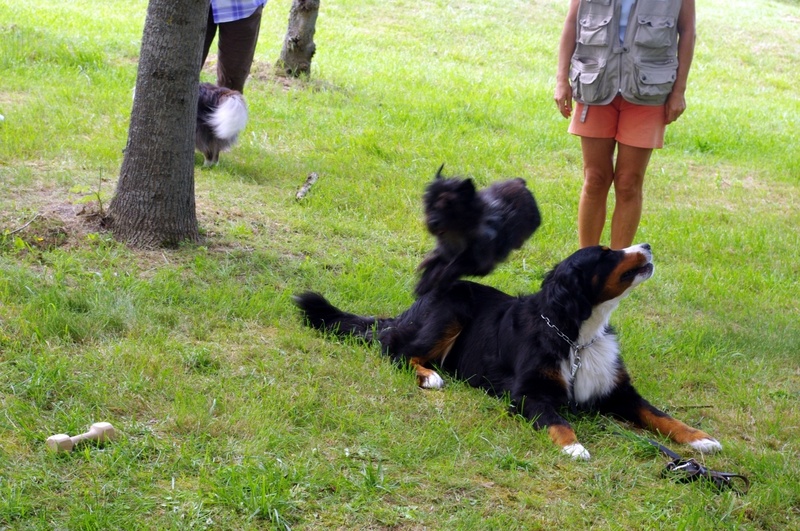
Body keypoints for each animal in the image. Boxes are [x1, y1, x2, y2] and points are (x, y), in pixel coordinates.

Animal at [416, 166, 540, 298]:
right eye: (429, 203)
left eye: (449, 205)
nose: (432, 222)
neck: (458, 233)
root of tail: (520, 183)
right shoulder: (446, 252)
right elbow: (436, 262)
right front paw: (424, 282)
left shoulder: (480, 263)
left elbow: (456, 265)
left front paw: (441, 280)